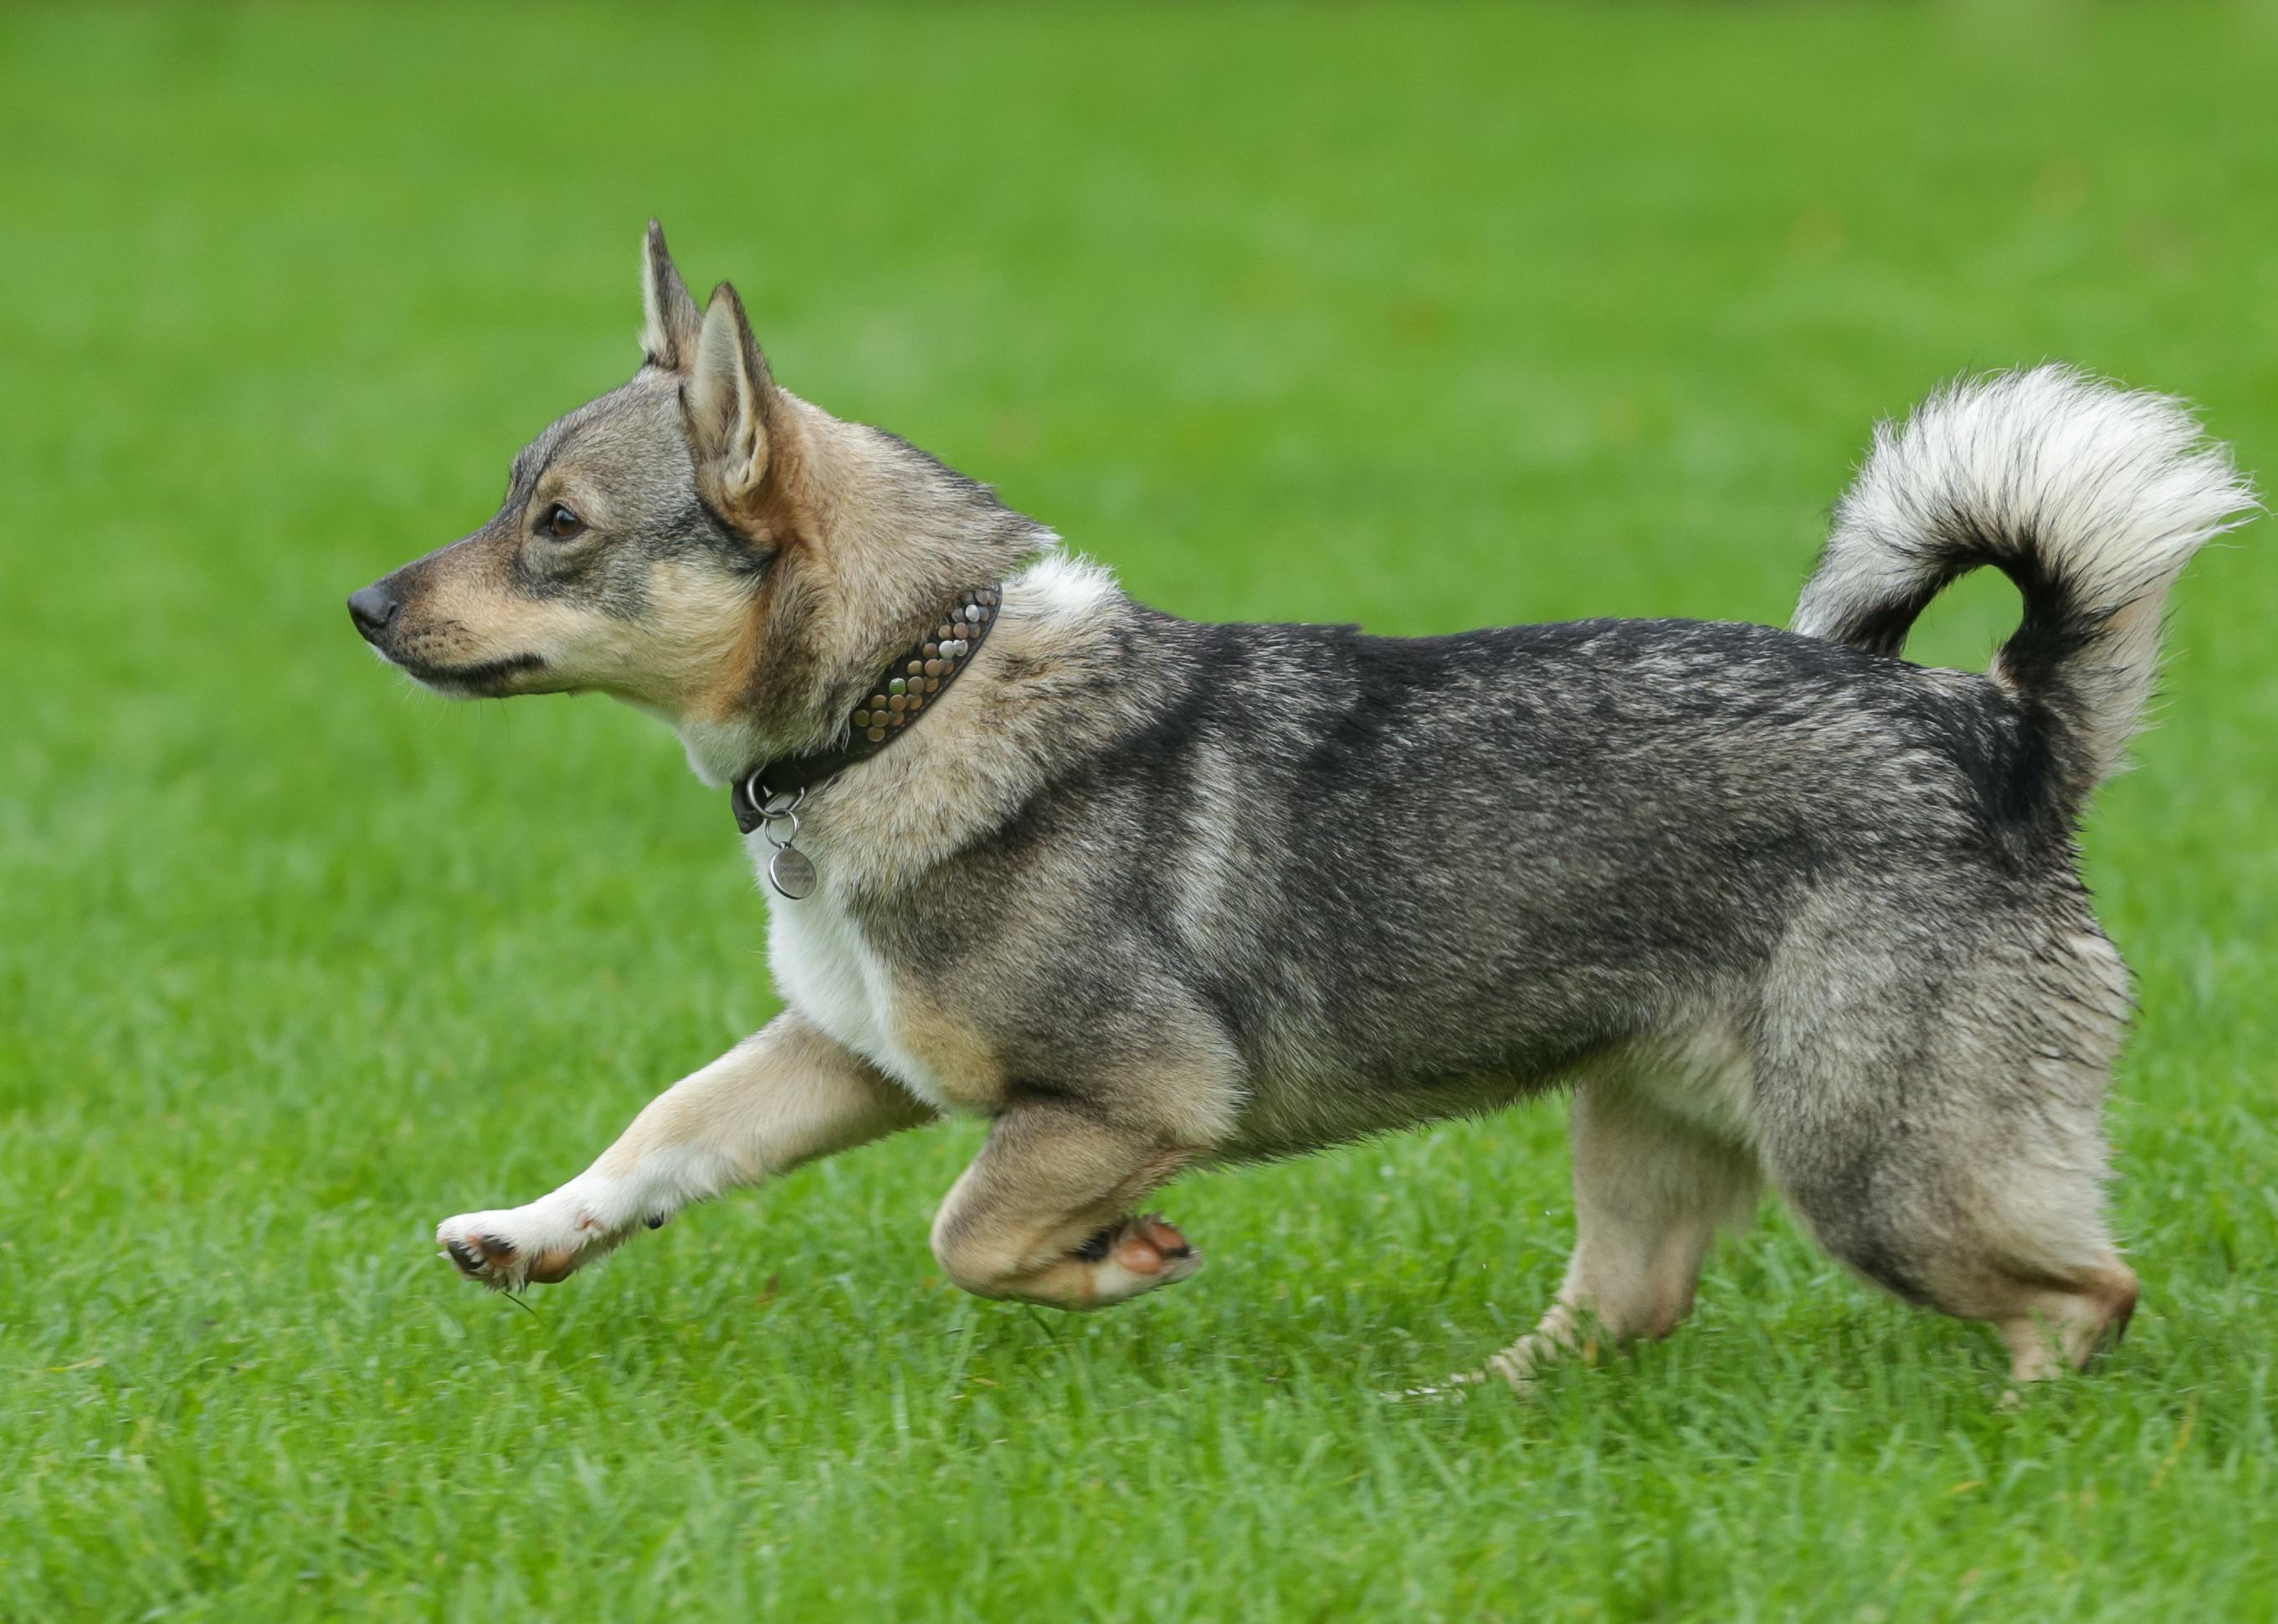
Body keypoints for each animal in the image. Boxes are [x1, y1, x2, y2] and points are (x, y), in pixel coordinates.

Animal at [346, 224, 2250, 1385]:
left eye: (558, 528)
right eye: (513, 503)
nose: (361, 606)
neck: (917, 693)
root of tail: (2003, 730)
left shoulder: (1125, 1094)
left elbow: (970, 1230)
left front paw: (1116, 1262)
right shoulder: (847, 1054)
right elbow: (665, 1131)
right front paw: (524, 1234)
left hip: (1869, 1164)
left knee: (2085, 1292)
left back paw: (2014, 1440)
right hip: (1652, 1117)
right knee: (1619, 1311)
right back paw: (1461, 1410)